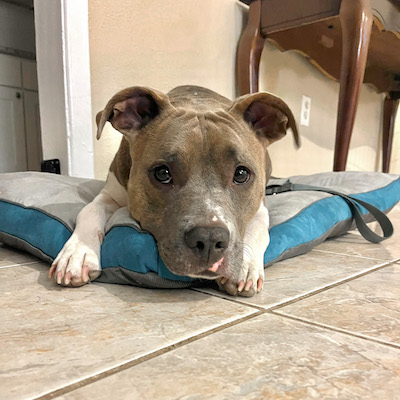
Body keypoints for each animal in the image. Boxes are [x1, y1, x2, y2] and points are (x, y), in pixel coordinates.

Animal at [48, 85, 298, 296]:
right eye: (162, 173)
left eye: (241, 174)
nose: (209, 239)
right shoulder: (110, 193)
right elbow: (89, 211)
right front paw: (78, 253)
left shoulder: (260, 208)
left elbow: (258, 229)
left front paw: (246, 266)